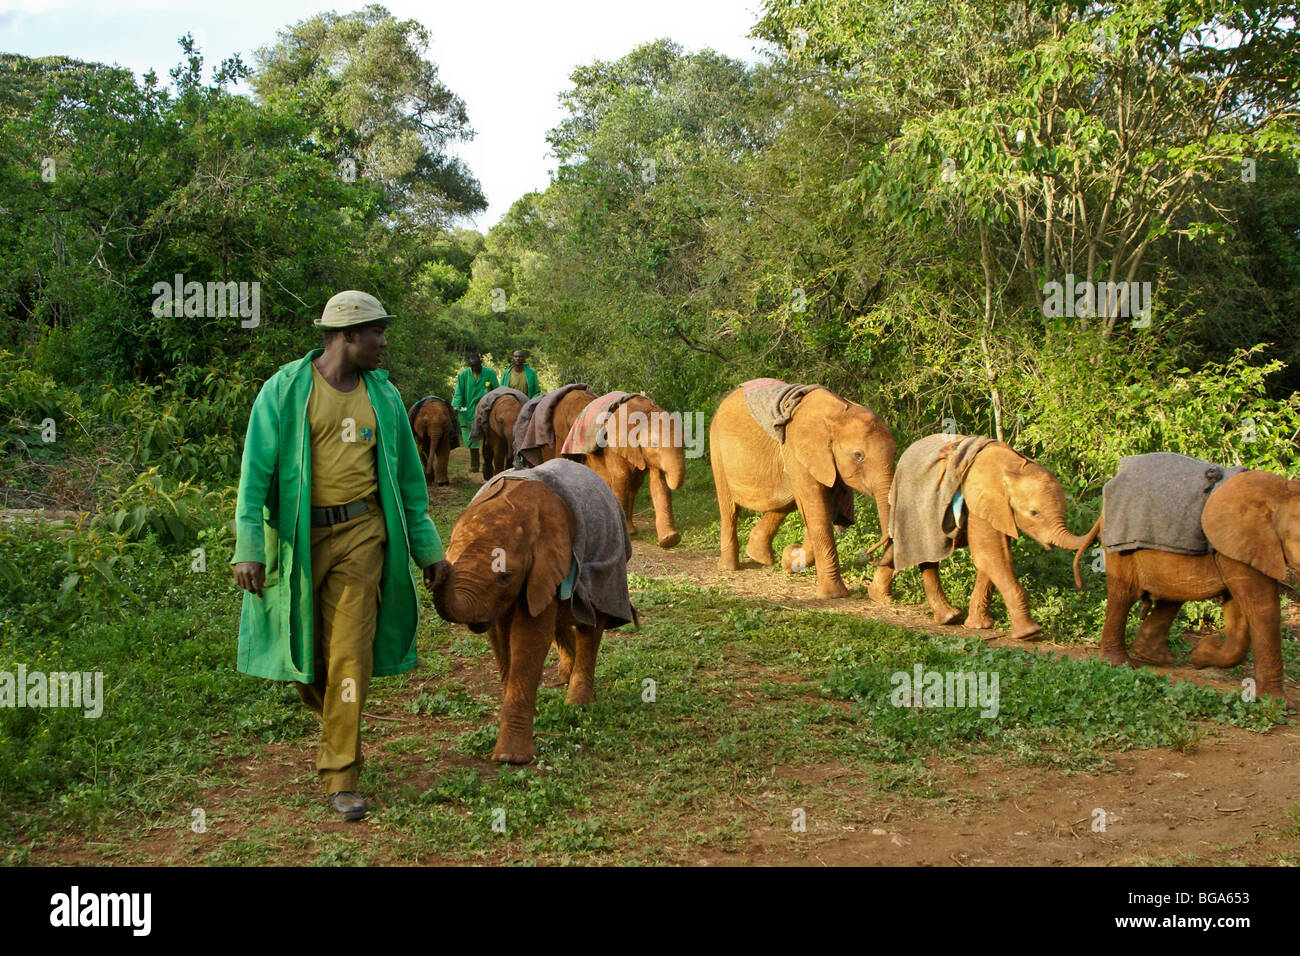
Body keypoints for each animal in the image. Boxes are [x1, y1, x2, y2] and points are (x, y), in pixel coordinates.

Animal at [426, 455, 634, 764]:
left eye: (505, 576)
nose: (434, 571)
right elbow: (501, 637)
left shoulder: (546, 561)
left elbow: (529, 635)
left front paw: (510, 757)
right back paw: (564, 677)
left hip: (607, 570)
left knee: (591, 624)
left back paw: (578, 704)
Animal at [569, 392, 691, 548]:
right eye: (654, 444)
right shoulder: (613, 445)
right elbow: (621, 479)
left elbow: (657, 484)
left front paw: (670, 540)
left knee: (634, 486)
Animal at [712, 382, 894, 598]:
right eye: (858, 456)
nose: (870, 555)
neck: (839, 414)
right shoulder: (798, 452)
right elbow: (817, 511)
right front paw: (834, 595)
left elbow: (820, 509)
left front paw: (789, 560)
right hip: (717, 450)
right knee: (729, 507)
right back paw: (729, 567)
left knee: (785, 502)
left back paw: (760, 556)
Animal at [1076, 468, 1300, 707]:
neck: (1280, 494)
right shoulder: (1244, 541)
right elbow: (1262, 608)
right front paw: (1276, 704)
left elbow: (1237, 608)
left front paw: (1202, 655)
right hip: (1122, 548)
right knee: (1125, 594)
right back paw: (1120, 664)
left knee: (1173, 592)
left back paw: (1154, 656)